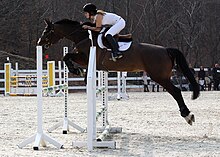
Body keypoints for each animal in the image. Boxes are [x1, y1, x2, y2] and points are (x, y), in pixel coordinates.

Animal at [37, 19, 199, 125]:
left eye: (46, 31)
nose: (39, 43)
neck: (83, 36)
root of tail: (166, 50)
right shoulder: (85, 59)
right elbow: (67, 57)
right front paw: (77, 71)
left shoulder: (85, 57)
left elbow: (67, 57)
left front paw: (75, 70)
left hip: (159, 77)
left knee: (176, 92)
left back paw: (187, 115)